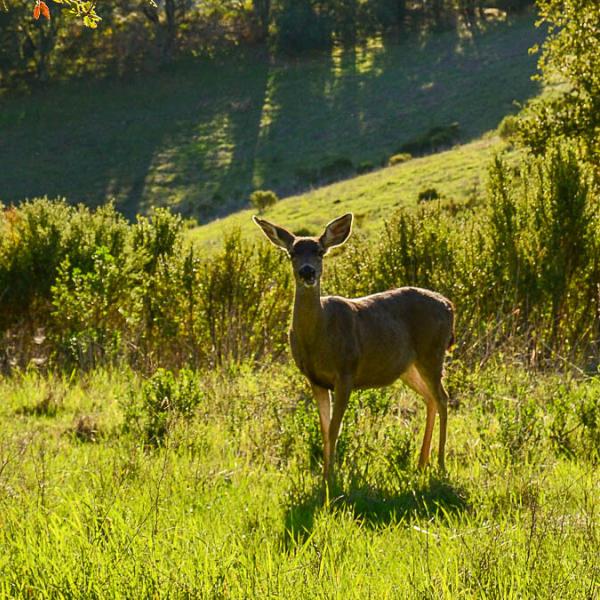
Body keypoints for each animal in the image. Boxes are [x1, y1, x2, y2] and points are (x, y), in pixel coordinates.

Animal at [253, 213, 454, 486]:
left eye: (320, 251)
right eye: (292, 252)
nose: (307, 271)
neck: (318, 337)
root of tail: (449, 305)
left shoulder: (345, 371)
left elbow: (334, 428)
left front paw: (331, 478)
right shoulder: (314, 379)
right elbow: (324, 429)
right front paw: (325, 477)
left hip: (432, 352)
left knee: (443, 397)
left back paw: (441, 464)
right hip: (408, 367)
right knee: (430, 398)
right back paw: (421, 464)